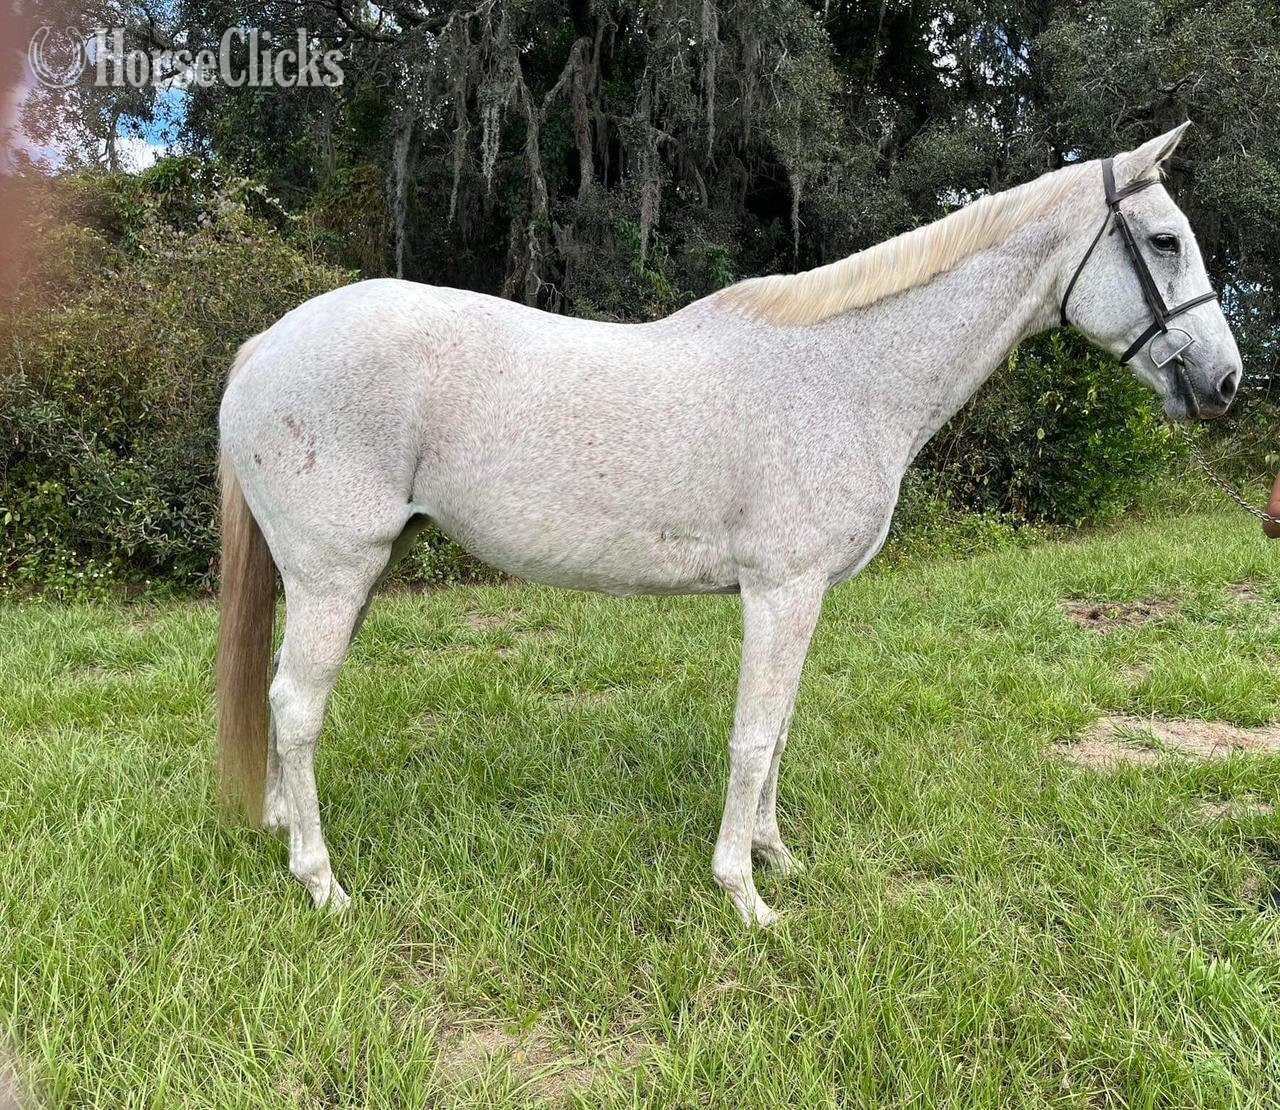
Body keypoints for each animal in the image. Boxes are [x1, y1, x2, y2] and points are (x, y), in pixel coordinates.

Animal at [217, 123, 1240, 925]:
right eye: (1163, 240)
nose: (1226, 381)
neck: (847, 371)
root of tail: (267, 343)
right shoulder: (780, 590)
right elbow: (753, 735)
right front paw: (744, 893)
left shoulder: (804, 596)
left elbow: (780, 727)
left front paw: (777, 855)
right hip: (336, 573)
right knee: (297, 707)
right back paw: (323, 884)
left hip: (344, 577)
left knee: (280, 692)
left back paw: (281, 832)